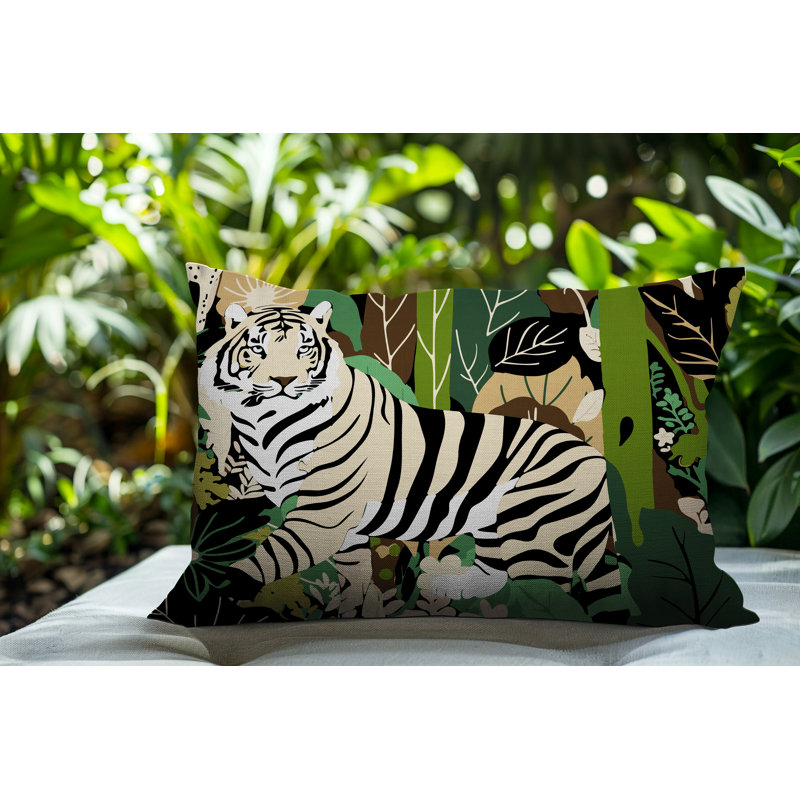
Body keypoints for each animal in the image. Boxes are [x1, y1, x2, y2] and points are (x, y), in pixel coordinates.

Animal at [198, 300, 623, 616]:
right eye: (258, 349)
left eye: (303, 348)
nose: (284, 382)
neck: (266, 423)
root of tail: (596, 458)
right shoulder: (345, 528)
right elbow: (354, 575)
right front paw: (353, 610)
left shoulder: (320, 517)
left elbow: (270, 556)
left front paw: (224, 588)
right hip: (494, 526)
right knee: (494, 574)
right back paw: (445, 584)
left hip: (534, 533)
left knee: (546, 593)